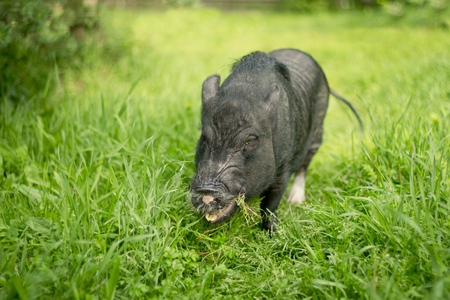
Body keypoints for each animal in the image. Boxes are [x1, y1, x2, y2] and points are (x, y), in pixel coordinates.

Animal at [189, 48, 362, 232]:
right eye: (204, 138)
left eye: (250, 141)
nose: (206, 190)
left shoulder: (282, 169)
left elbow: (270, 205)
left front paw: (271, 234)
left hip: (318, 130)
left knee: (305, 165)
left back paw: (295, 201)